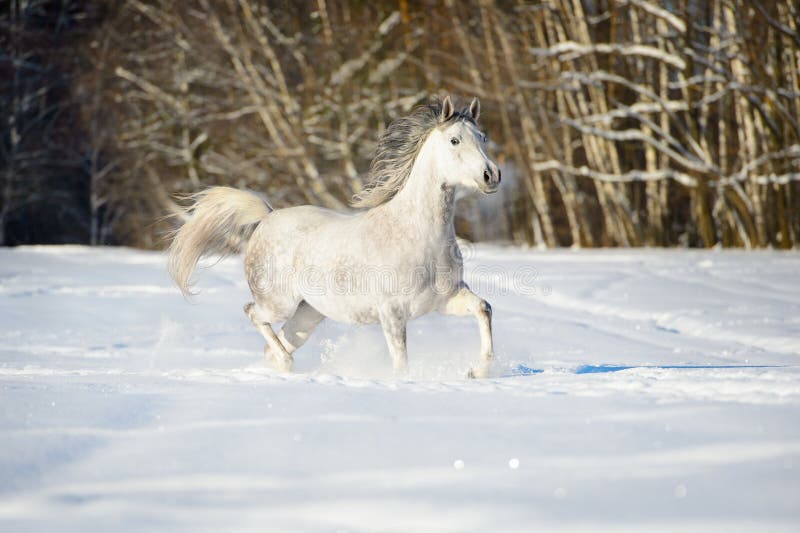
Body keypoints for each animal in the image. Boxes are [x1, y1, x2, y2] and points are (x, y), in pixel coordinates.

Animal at [167, 95, 501, 378]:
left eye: (483, 138)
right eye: (454, 140)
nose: (492, 175)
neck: (418, 234)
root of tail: (267, 217)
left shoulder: (445, 299)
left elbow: (484, 308)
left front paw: (478, 371)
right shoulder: (392, 313)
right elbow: (400, 363)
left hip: (308, 314)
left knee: (275, 344)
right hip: (279, 303)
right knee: (254, 315)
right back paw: (287, 365)